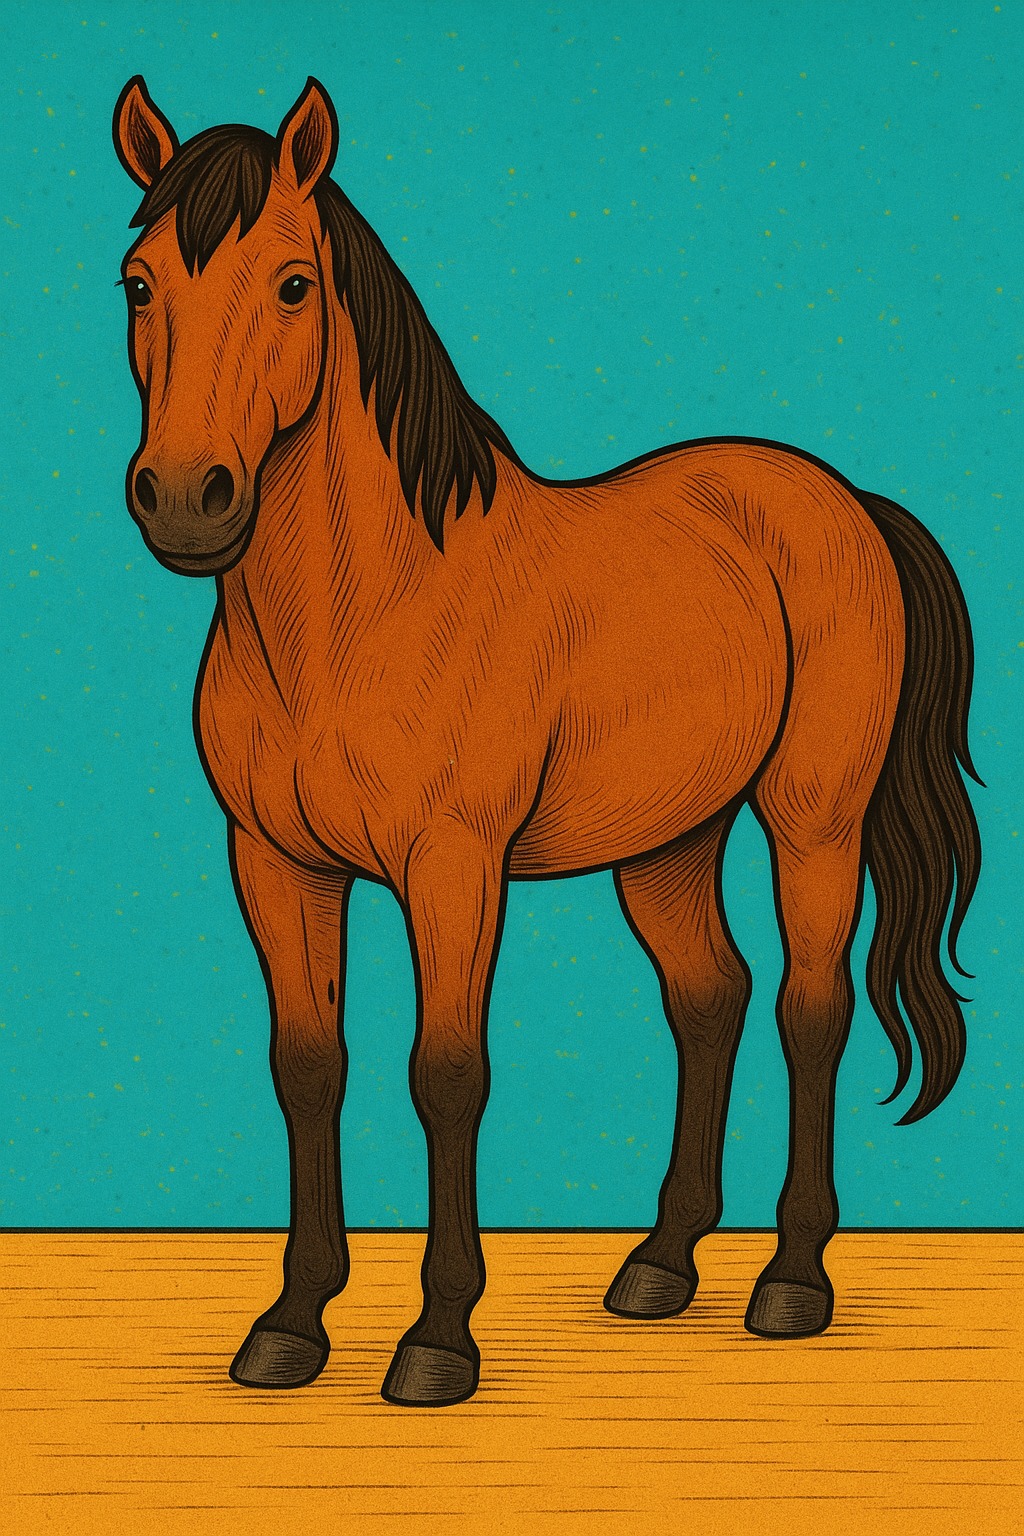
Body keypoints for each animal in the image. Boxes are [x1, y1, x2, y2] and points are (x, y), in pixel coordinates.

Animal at [113, 75, 980, 1408]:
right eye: (139, 281)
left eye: (294, 283)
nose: (183, 498)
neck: (361, 612)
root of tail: (838, 500)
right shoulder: (274, 862)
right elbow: (308, 1067)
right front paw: (290, 1325)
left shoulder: (451, 867)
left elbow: (446, 1074)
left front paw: (436, 1341)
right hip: (668, 838)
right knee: (709, 997)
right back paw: (661, 1265)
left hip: (812, 819)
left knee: (809, 1007)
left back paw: (790, 1281)